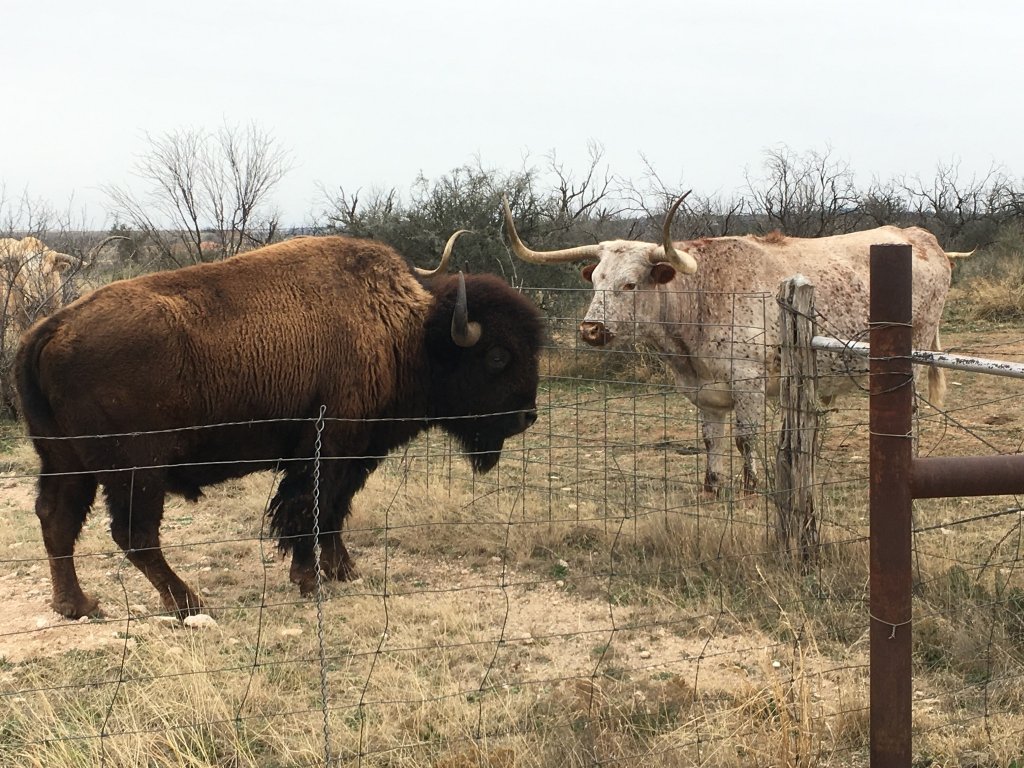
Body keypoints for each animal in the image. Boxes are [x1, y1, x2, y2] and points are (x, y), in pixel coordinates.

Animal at [16, 234, 544, 618]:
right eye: (498, 356)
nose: (527, 417)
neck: (408, 332)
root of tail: (49, 330)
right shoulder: (326, 449)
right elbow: (309, 510)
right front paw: (310, 580)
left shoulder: (355, 454)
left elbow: (333, 511)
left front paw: (343, 571)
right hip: (136, 471)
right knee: (134, 535)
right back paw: (188, 603)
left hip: (66, 462)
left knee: (56, 520)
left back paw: (78, 606)